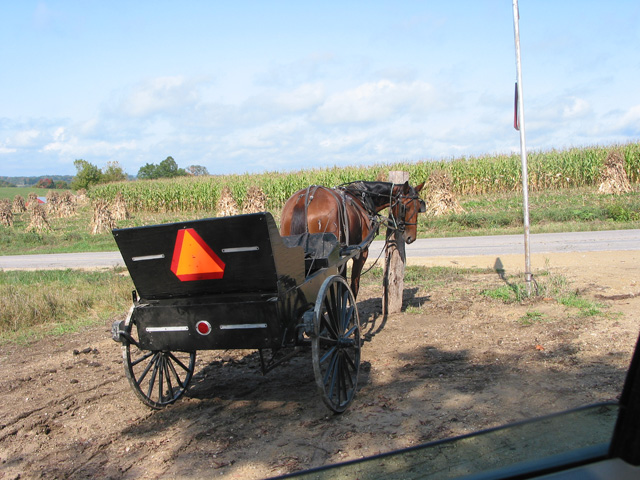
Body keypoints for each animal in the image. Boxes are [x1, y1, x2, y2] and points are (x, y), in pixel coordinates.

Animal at [282, 181, 424, 296]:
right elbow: (352, 286)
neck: (362, 198)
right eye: (405, 207)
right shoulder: (360, 253)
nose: (411, 237)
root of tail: (305, 199)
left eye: (418, 207)